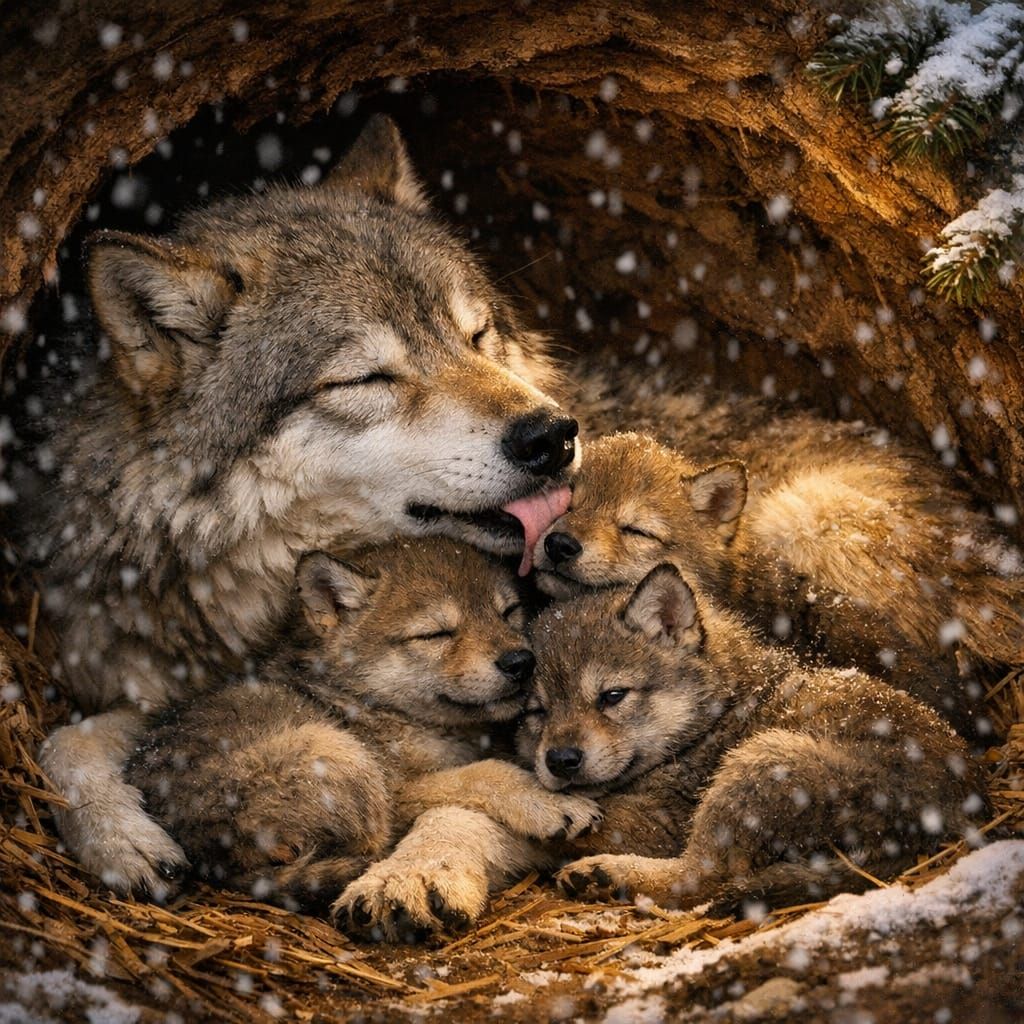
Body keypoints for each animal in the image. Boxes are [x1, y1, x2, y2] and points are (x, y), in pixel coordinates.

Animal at [35, 115, 578, 895]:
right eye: (368, 378)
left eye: (478, 337)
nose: (553, 436)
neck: (256, 618)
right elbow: (65, 740)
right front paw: (121, 839)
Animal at [126, 539, 599, 927]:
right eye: (436, 633)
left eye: (508, 612)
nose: (521, 662)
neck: (373, 704)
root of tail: (210, 851)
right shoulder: (398, 788)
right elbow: (482, 772)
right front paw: (546, 803)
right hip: (341, 755)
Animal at [518, 563, 989, 910]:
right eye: (537, 712)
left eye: (612, 696)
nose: (560, 759)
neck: (714, 713)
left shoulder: (658, 823)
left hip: (760, 762)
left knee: (699, 879)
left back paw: (605, 874)